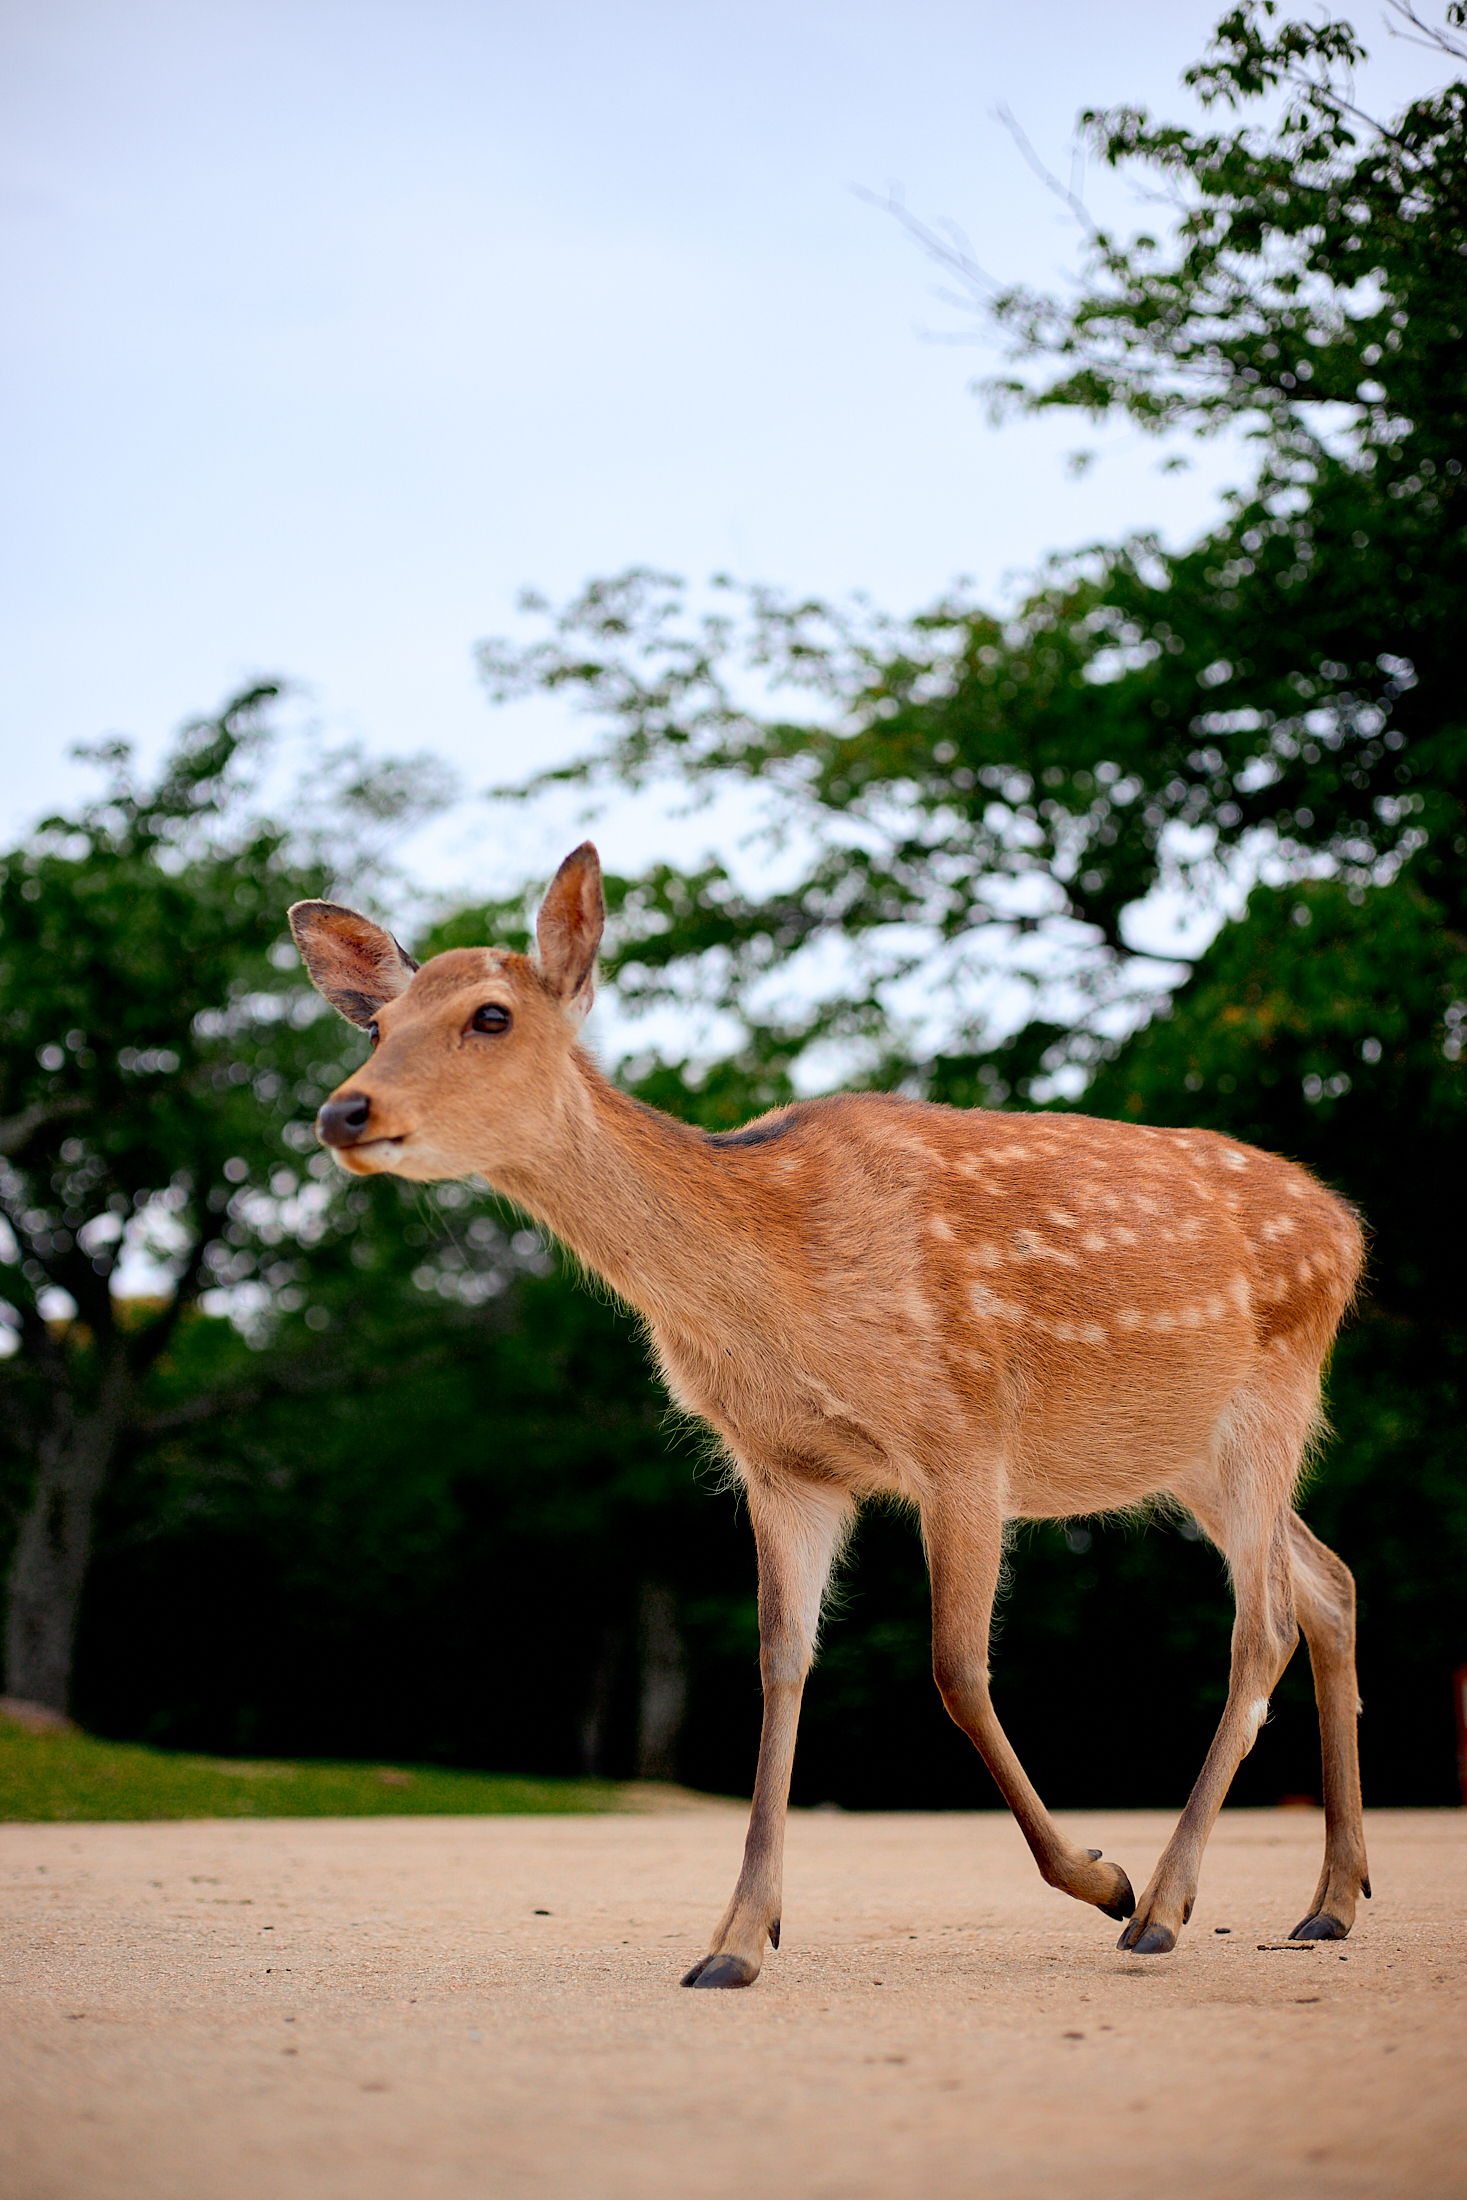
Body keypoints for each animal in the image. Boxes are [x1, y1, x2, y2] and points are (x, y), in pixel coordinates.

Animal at [290, 836, 1381, 1980]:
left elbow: (955, 1670)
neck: (780, 1285)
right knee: (1328, 1582)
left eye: (491, 1015)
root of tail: (1347, 1226)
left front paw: (1098, 1874)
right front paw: (736, 1939)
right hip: (1193, 1456)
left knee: (1262, 1624)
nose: (344, 1111)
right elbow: (781, 1663)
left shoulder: (962, 1434)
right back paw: (1329, 1901)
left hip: (1268, 1403)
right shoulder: (785, 1464)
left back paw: (1162, 1903)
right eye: (376, 1027)